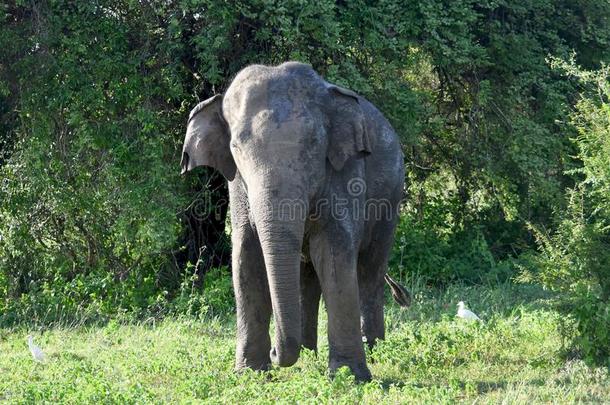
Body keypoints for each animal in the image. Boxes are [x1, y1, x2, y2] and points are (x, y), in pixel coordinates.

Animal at [180, 61, 408, 380]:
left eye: (314, 144)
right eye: (236, 148)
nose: (276, 352)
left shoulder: (345, 171)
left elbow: (335, 254)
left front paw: (350, 377)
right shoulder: (237, 184)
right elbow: (246, 257)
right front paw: (250, 373)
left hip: (391, 197)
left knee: (369, 271)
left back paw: (374, 349)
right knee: (307, 275)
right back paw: (310, 355)